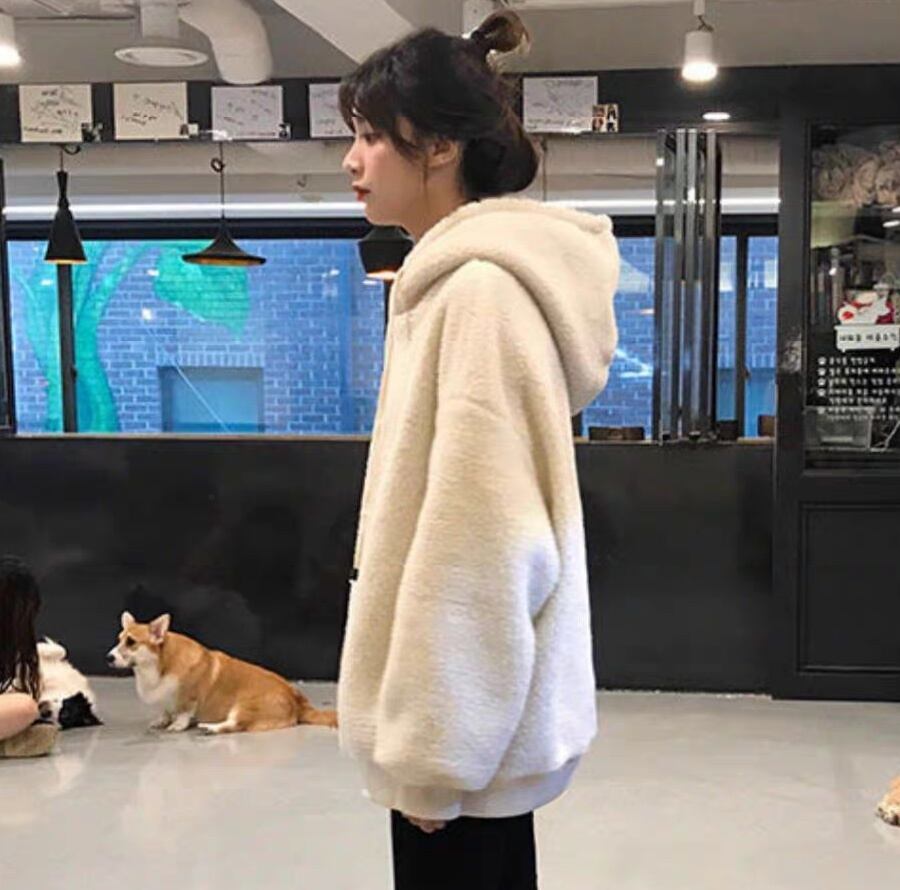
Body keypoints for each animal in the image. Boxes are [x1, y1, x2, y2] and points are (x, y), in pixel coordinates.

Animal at [106, 611, 337, 735]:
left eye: (131, 642)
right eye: (119, 639)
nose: (108, 657)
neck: (159, 665)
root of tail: (297, 701)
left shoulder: (189, 699)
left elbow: (183, 712)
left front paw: (177, 725)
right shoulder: (165, 699)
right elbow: (165, 710)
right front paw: (161, 720)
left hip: (243, 707)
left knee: (235, 725)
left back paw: (210, 728)